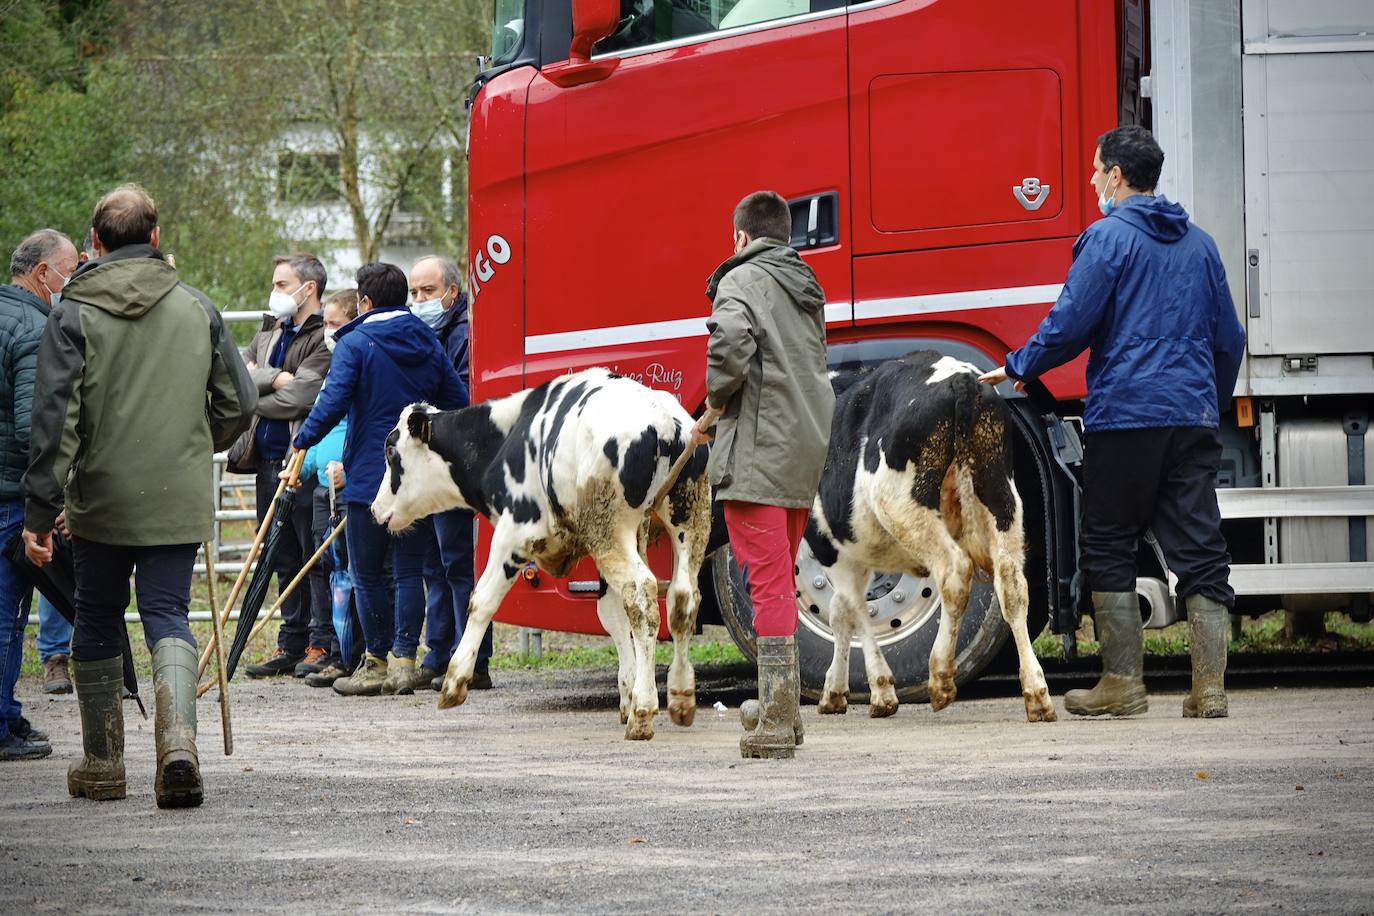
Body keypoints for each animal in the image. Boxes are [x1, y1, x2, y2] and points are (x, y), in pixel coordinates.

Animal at [370, 368, 714, 741]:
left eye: (391, 453)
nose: (375, 508)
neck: (507, 438)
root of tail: (664, 422)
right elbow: (613, 617)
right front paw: (627, 694)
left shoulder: (513, 534)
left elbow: (482, 601)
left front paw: (454, 682)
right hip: (689, 520)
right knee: (681, 599)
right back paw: (680, 697)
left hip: (610, 531)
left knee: (642, 594)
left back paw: (644, 711)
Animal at [802, 351, 1055, 725]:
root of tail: (960, 379)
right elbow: (842, 612)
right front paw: (835, 691)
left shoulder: (828, 542)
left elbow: (852, 610)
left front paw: (879, 691)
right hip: (1001, 497)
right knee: (1012, 586)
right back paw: (1037, 694)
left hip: (904, 506)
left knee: (954, 571)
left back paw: (940, 678)